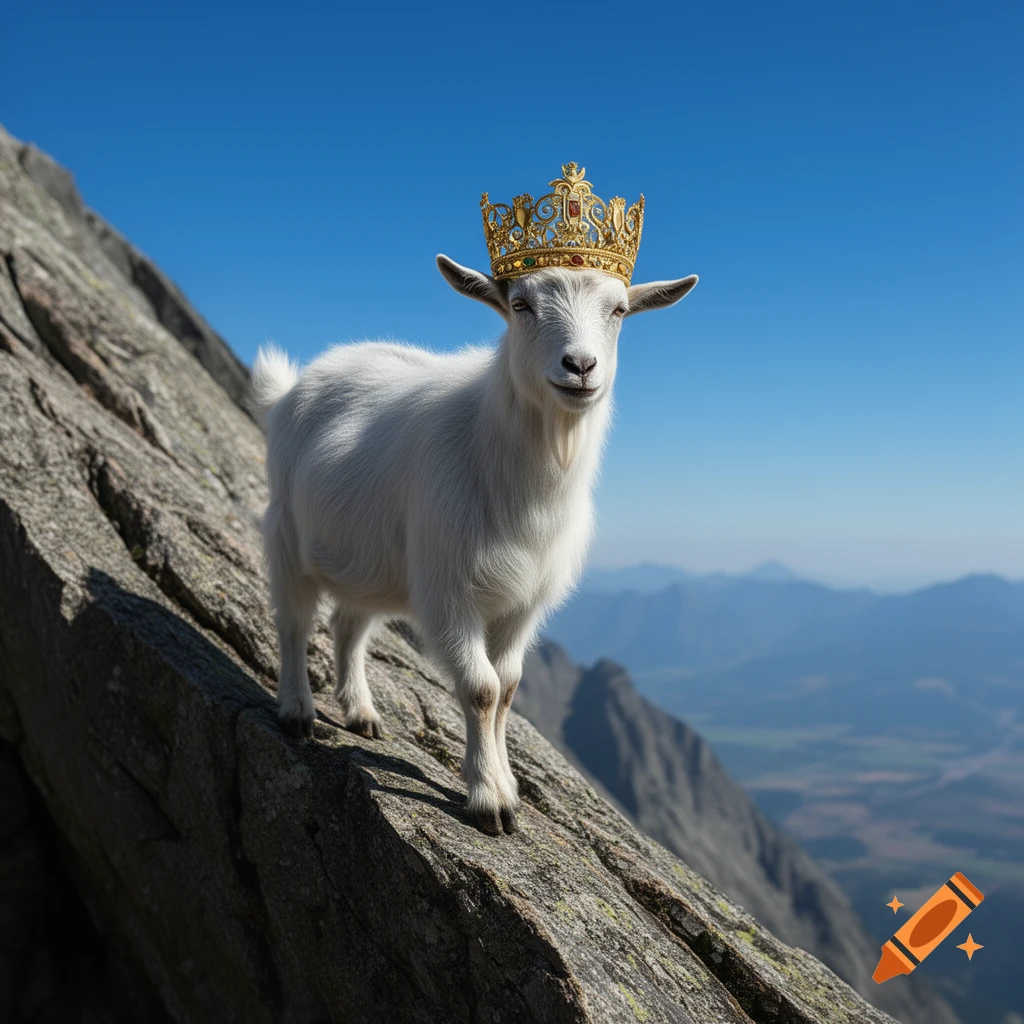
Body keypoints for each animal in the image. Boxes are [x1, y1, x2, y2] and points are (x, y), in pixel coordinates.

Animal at [252, 256, 698, 835]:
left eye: (619, 310)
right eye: (521, 304)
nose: (580, 366)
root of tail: (292, 387)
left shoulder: (523, 604)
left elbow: (507, 687)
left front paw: (505, 782)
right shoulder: (449, 591)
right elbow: (482, 689)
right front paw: (491, 800)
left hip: (374, 560)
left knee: (349, 624)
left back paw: (361, 712)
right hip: (286, 530)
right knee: (294, 622)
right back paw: (297, 711)